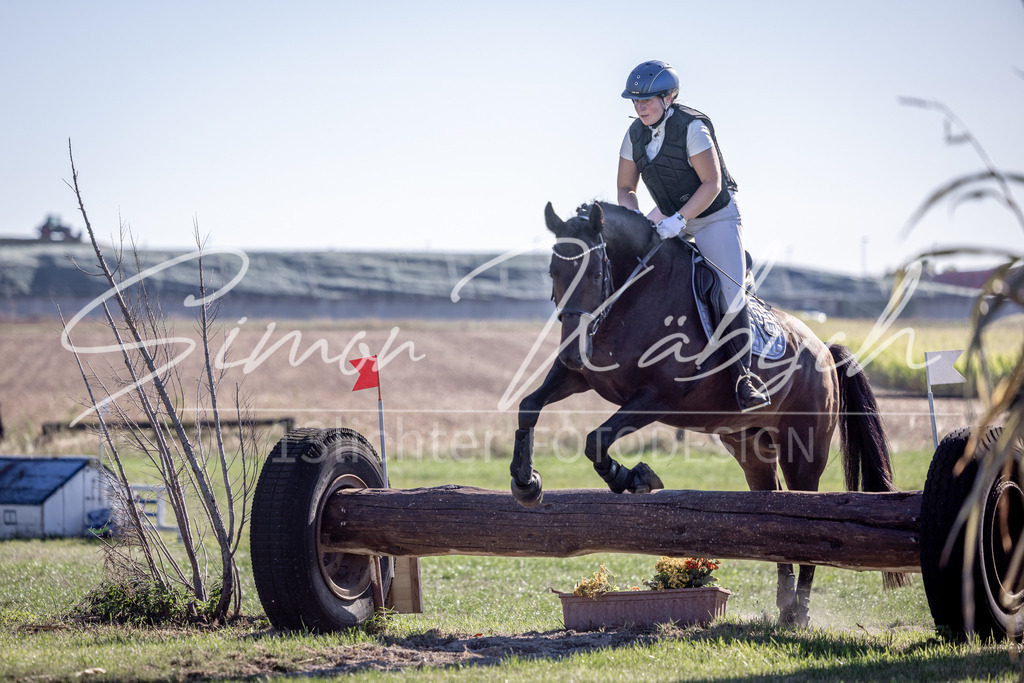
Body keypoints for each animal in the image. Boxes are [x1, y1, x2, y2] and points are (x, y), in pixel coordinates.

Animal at [509, 200, 906, 626]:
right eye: (554, 272)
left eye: (597, 273)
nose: (571, 350)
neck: (630, 296)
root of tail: (825, 351)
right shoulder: (578, 376)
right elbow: (529, 407)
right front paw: (526, 483)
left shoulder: (658, 396)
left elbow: (596, 439)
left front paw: (633, 478)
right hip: (751, 446)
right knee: (774, 506)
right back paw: (785, 605)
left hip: (803, 448)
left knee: (807, 510)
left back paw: (800, 612)